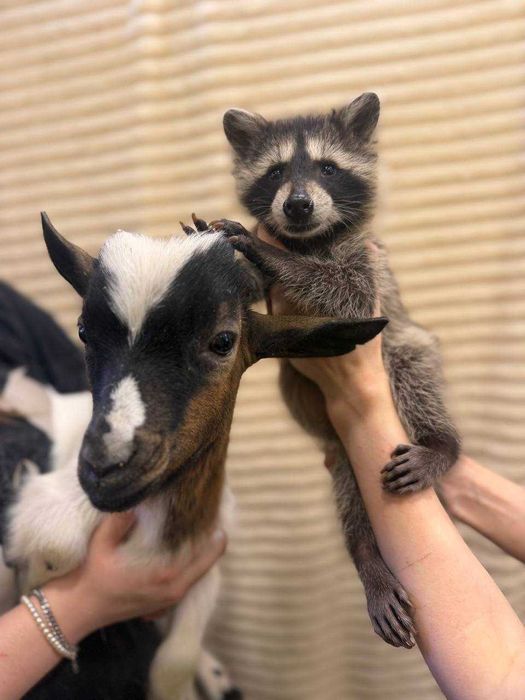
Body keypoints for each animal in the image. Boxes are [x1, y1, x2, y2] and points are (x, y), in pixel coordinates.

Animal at [5, 213, 387, 700]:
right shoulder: (50, 528)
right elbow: (53, 552)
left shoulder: (208, 556)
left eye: (223, 341)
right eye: (84, 332)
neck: (165, 530)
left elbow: (175, 660)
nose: (106, 468)